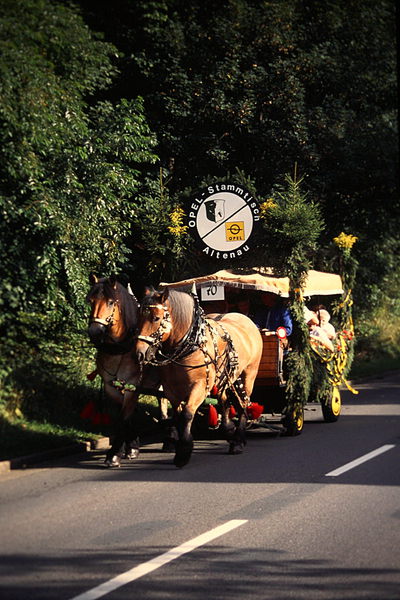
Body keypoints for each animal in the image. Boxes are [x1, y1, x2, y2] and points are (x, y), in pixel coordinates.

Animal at [86, 274, 163, 466]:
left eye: (111, 302)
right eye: (90, 301)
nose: (95, 332)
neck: (120, 348)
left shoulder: (132, 386)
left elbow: (123, 417)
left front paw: (114, 454)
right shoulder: (111, 386)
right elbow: (121, 418)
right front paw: (129, 448)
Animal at [134, 288, 264, 468]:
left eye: (156, 318)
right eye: (139, 317)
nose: (140, 353)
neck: (189, 344)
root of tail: (246, 319)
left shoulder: (200, 386)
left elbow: (188, 413)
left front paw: (184, 450)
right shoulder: (171, 389)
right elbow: (178, 416)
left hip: (249, 374)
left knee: (243, 403)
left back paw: (238, 440)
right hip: (226, 378)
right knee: (226, 401)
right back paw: (230, 430)